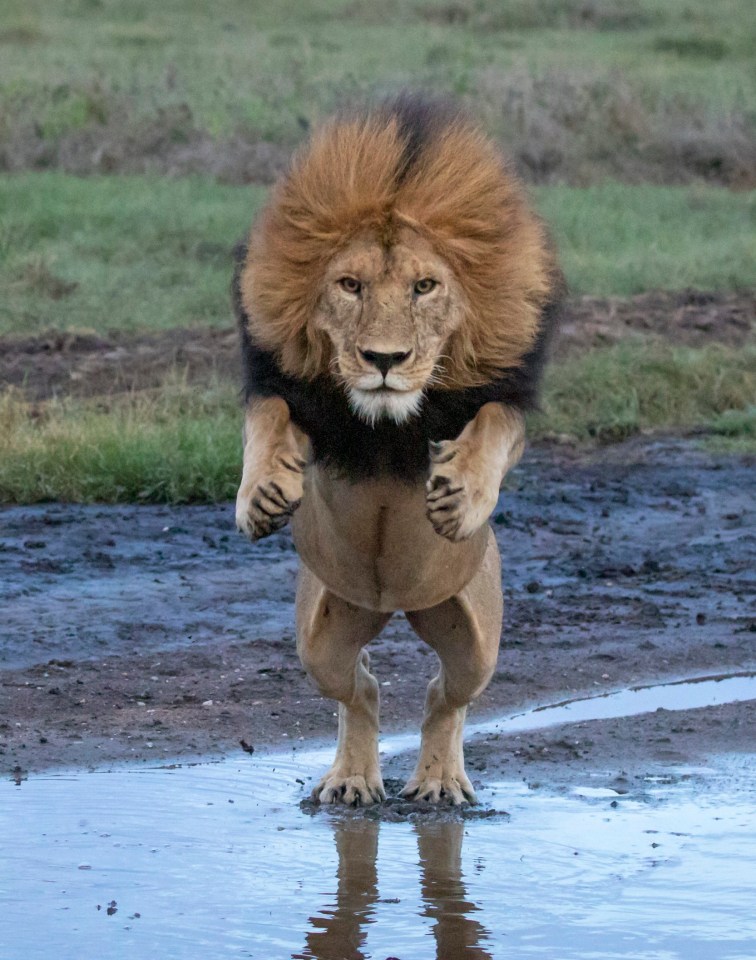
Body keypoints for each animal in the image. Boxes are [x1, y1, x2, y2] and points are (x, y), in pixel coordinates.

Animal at [235, 95, 560, 804]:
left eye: (425, 287)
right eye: (349, 285)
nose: (384, 360)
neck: (385, 423)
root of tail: (393, 607)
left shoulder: (500, 399)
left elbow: (493, 425)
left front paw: (459, 498)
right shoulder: (301, 401)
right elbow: (266, 416)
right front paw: (262, 495)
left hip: (474, 637)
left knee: (446, 694)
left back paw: (439, 782)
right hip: (322, 636)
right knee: (361, 688)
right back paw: (353, 779)